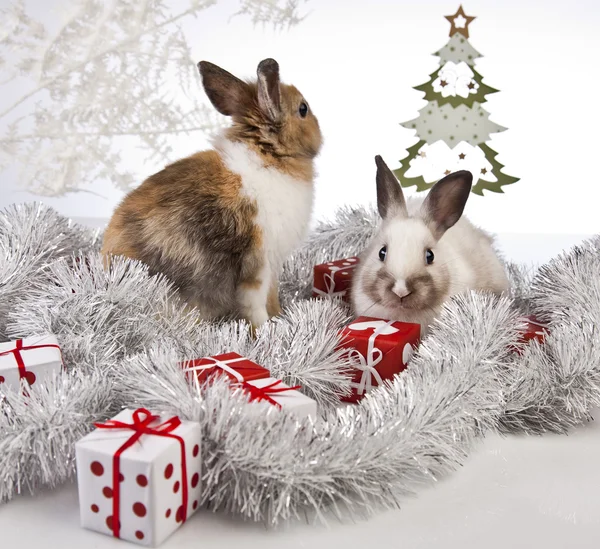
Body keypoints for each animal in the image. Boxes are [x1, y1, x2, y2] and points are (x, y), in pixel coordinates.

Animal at [101, 58, 322, 328]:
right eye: (303, 109)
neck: (269, 155)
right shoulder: (258, 262)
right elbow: (255, 302)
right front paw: (265, 329)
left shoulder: (273, 266)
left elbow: (272, 298)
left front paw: (279, 317)